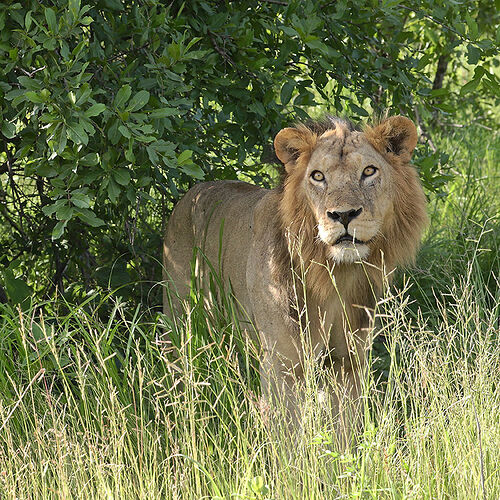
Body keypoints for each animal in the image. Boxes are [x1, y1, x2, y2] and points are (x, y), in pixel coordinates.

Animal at [162, 115, 428, 436]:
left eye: (368, 171)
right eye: (318, 176)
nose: (343, 215)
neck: (335, 277)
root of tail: (191, 192)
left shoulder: (347, 361)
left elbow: (344, 430)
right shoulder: (283, 364)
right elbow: (288, 438)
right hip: (179, 321)